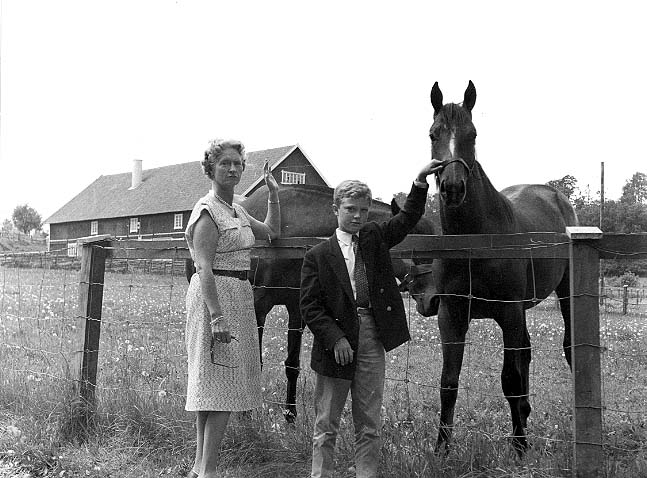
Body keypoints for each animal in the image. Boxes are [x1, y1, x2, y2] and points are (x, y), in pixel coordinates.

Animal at [185, 183, 432, 422]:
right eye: (414, 247)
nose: (432, 300)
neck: (290, 233)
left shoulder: (297, 309)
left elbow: (292, 365)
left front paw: (290, 416)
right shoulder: (258, 307)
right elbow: (255, 362)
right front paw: (246, 415)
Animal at [408, 83, 580, 456]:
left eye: (472, 134)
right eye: (433, 134)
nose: (453, 188)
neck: (477, 241)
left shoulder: (508, 313)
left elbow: (510, 380)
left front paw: (519, 446)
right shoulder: (452, 316)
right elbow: (448, 383)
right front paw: (442, 448)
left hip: (564, 294)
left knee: (568, 348)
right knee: (526, 351)